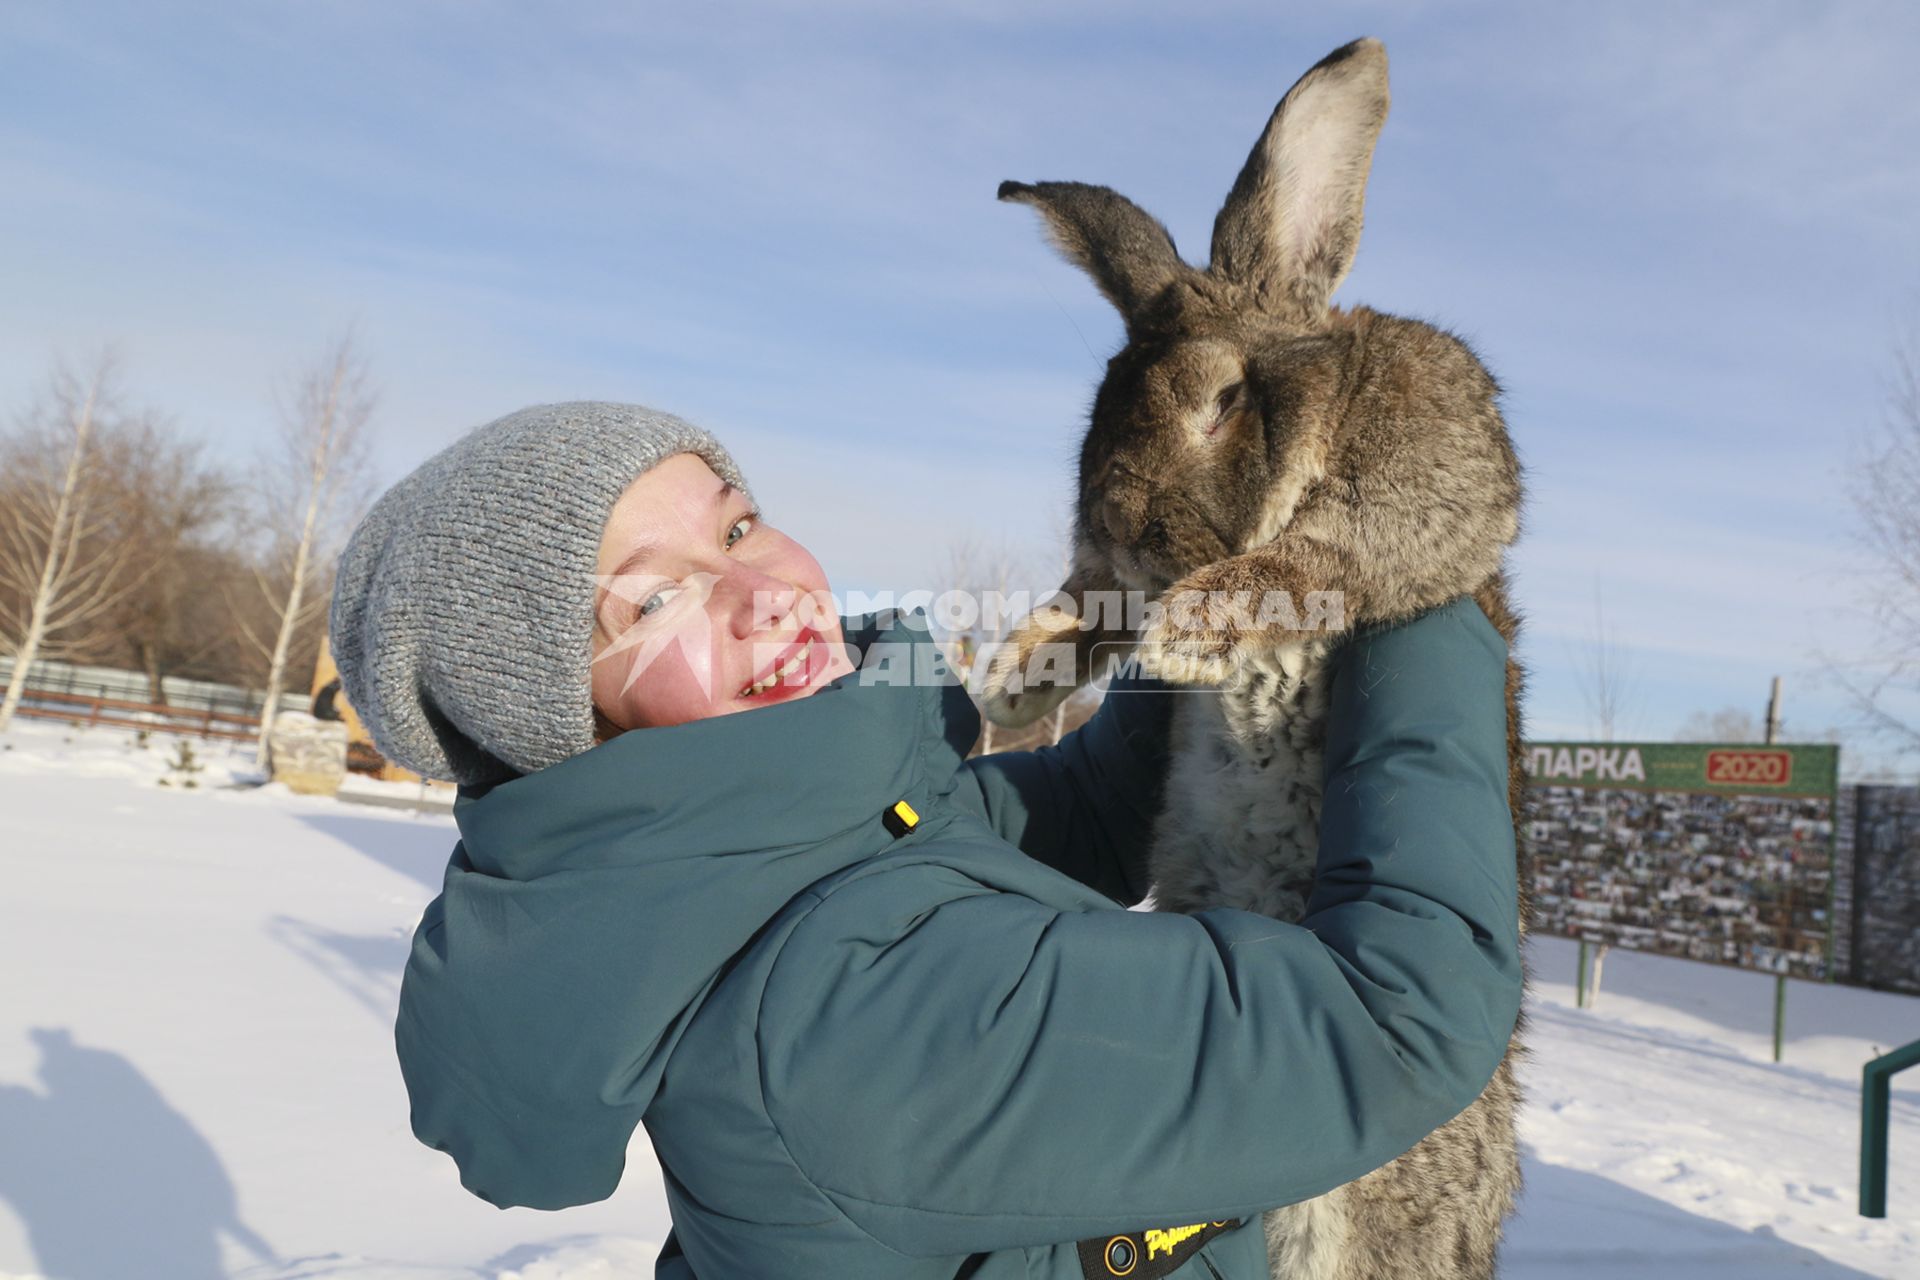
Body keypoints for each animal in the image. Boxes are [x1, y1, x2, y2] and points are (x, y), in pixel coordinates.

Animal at [983, 37, 1536, 1280]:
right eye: (1100, 415)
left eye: (1226, 397)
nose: (1122, 520)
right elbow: (1090, 617)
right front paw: (1013, 671)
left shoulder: (1425, 473)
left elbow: (1326, 550)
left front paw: (1200, 620)